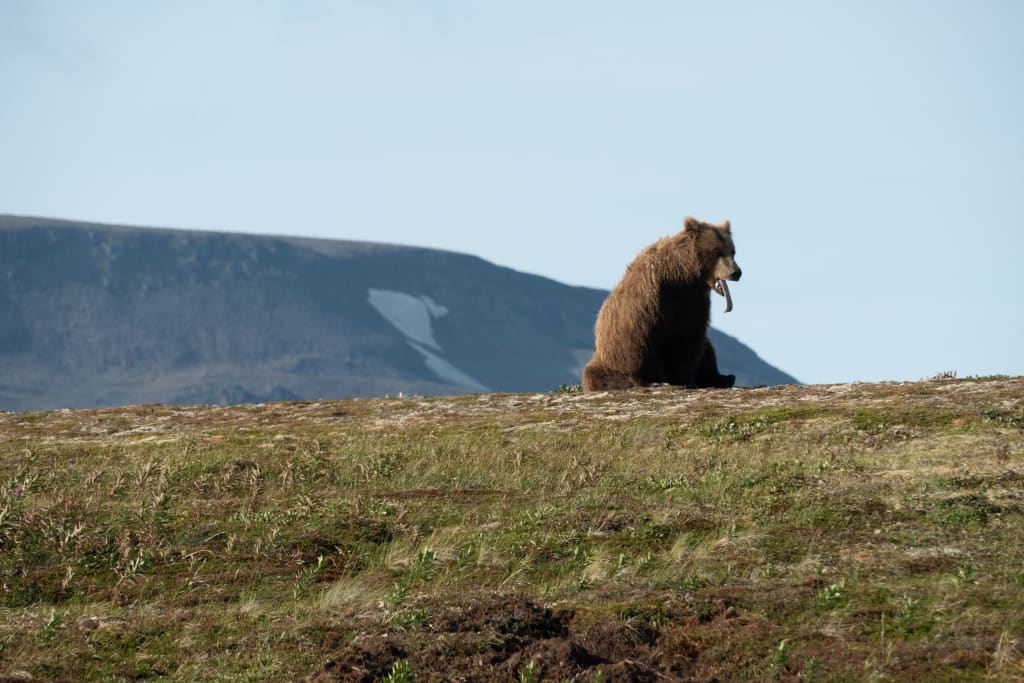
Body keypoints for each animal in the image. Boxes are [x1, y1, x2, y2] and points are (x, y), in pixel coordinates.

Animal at [582, 216, 742, 391]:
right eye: (716, 252)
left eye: (733, 251)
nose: (736, 272)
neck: (680, 278)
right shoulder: (651, 298)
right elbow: (642, 341)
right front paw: (651, 380)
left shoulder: (693, 303)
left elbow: (689, 338)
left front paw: (683, 378)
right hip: (606, 359)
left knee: (707, 348)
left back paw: (724, 377)